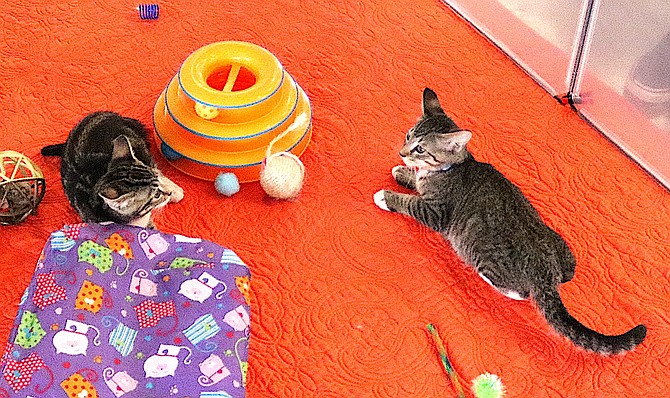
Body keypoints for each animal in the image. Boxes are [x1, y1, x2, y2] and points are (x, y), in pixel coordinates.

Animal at [376, 88, 648, 354]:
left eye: (420, 149)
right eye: (408, 136)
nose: (402, 152)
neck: (451, 168)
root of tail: (546, 271)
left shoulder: (436, 212)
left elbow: (411, 203)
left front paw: (386, 196)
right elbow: (415, 181)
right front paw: (403, 172)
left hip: (484, 255)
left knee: (519, 291)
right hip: (561, 249)